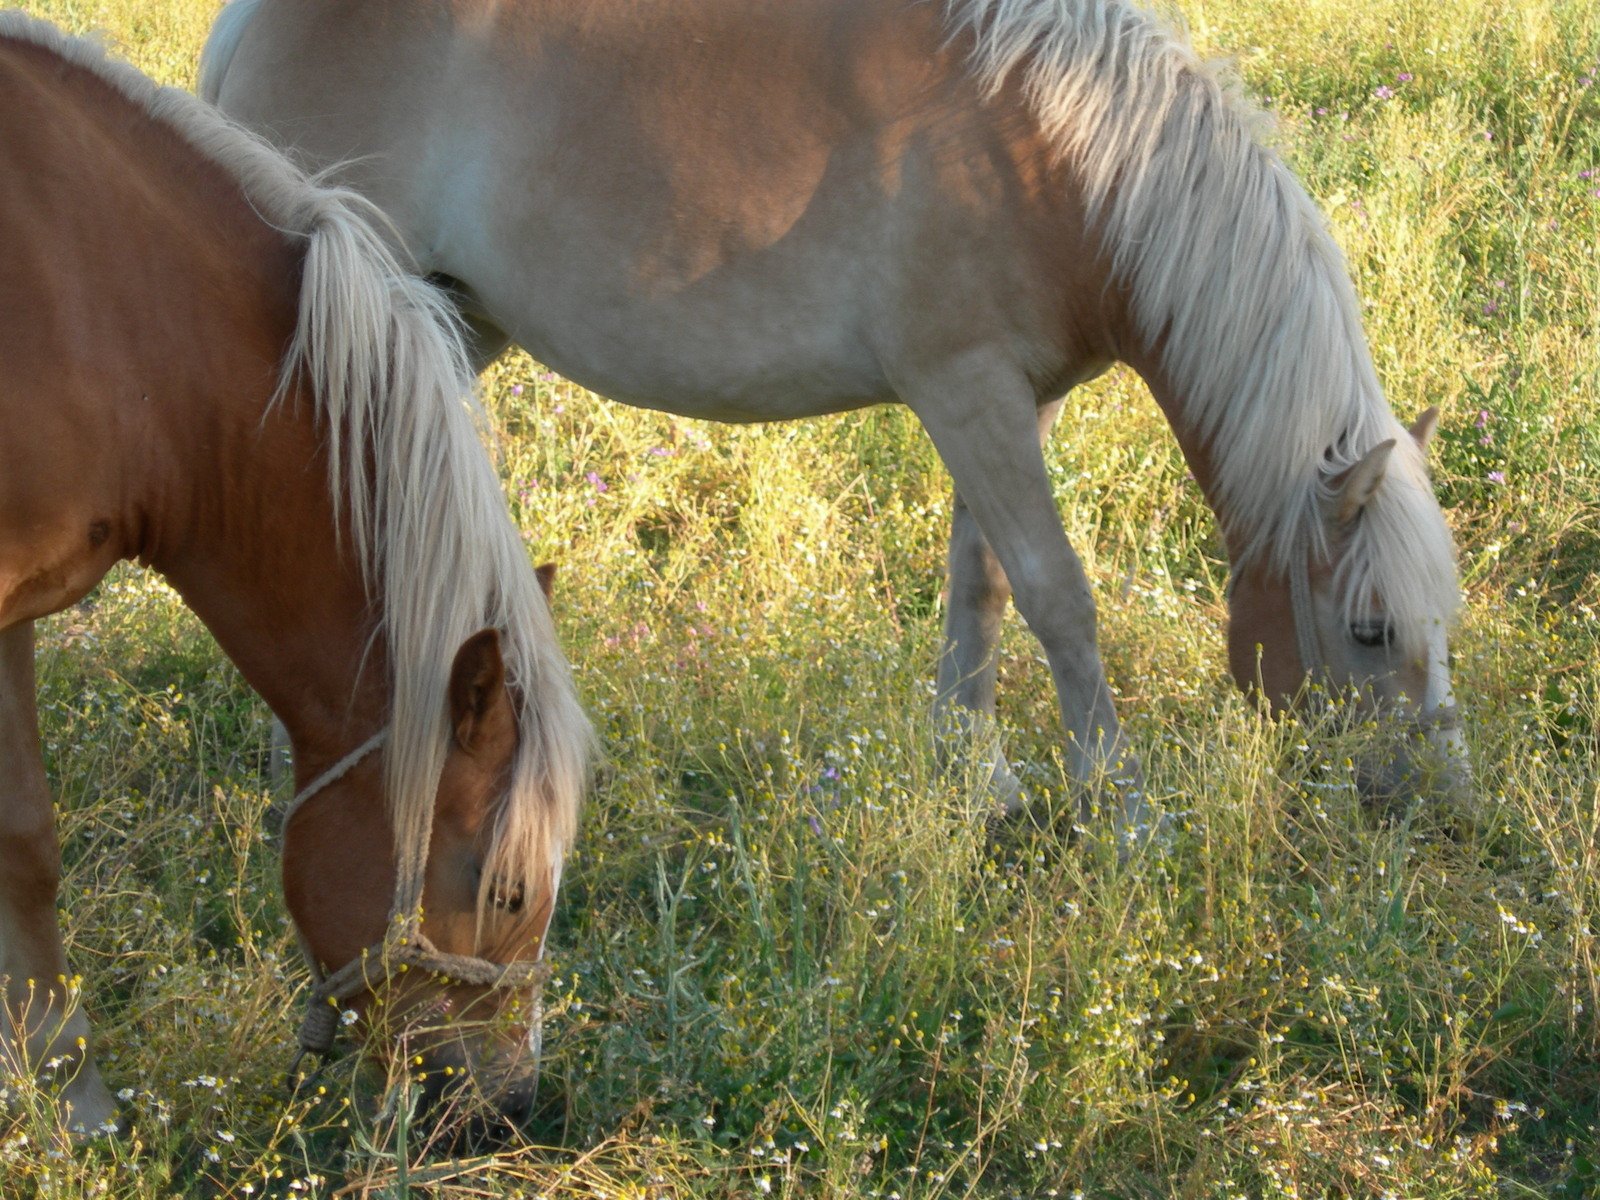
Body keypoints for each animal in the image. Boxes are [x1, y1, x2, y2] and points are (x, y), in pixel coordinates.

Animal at [1, 16, 588, 1139]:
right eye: (504, 894)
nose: (507, 1110)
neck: (111, 306)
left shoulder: (10, 608)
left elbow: (26, 840)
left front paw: (67, 1088)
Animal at [206, 0, 1465, 825]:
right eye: (1367, 630)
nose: (1445, 803)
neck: (1057, 156)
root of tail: (249, 20)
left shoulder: (1012, 405)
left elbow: (981, 587)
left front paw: (981, 781)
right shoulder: (965, 391)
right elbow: (1059, 599)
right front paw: (1120, 809)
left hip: (448, 327)